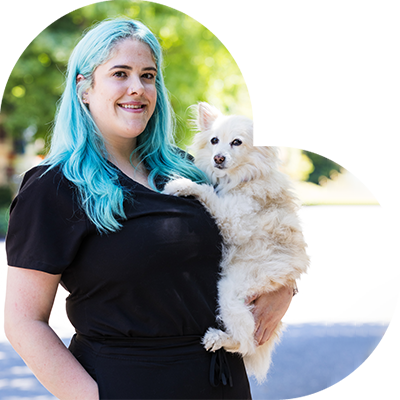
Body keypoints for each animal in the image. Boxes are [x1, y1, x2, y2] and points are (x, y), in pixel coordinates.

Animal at [162, 101, 310, 382]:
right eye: (214, 141)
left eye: (237, 143)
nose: (218, 158)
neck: (237, 180)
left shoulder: (234, 221)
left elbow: (208, 193)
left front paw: (181, 185)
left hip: (230, 293)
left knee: (245, 343)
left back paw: (219, 338)